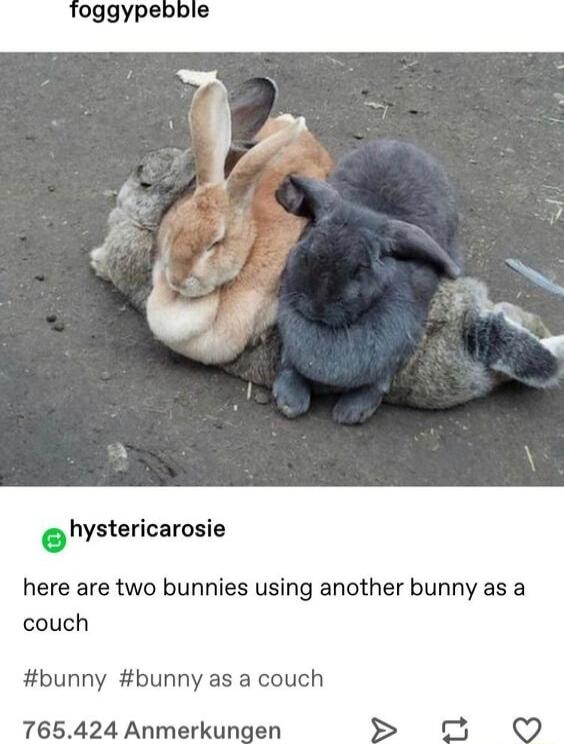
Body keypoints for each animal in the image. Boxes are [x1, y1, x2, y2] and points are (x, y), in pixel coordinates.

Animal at [272, 139, 463, 424]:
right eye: (307, 251)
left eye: (360, 268)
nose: (318, 307)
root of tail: (402, 144)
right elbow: (288, 362)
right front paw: (289, 400)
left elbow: (379, 382)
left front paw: (351, 412)